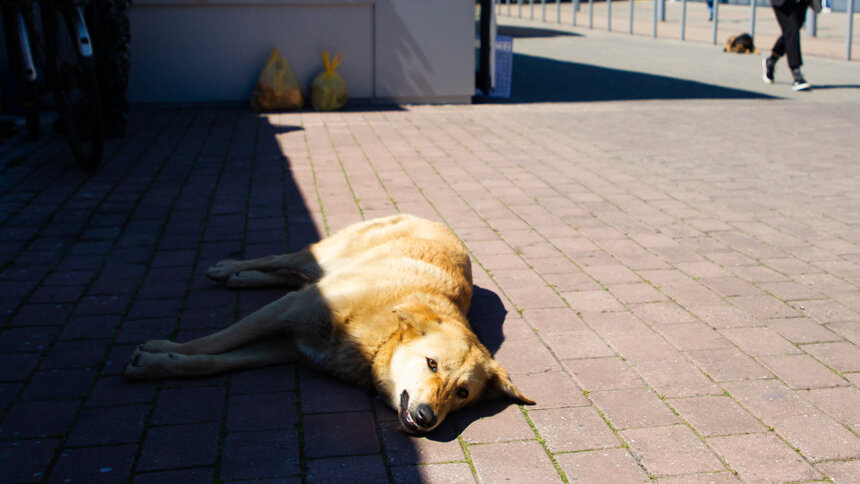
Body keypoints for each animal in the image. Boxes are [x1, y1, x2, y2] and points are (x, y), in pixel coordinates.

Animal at [124, 214, 536, 432]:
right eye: (431, 364)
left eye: (462, 393)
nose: (425, 419)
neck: (376, 342)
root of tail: (434, 219)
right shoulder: (288, 311)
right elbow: (215, 342)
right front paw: (163, 350)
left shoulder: (287, 346)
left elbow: (212, 362)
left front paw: (157, 363)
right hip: (321, 256)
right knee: (281, 260)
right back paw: (230, 268)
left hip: (316, 274)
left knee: (288, 274)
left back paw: (241, 278)